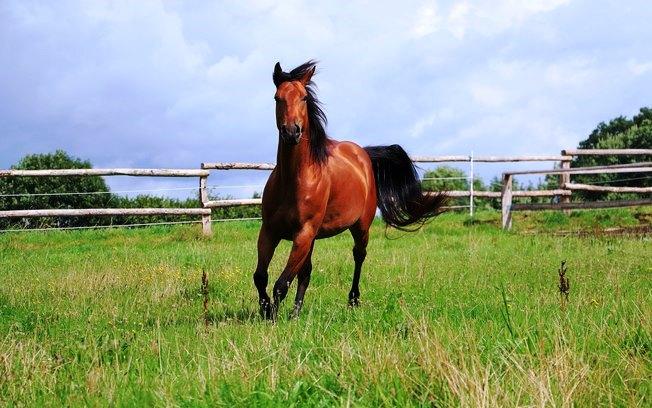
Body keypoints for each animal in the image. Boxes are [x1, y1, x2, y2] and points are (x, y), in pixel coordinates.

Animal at [252, 62, 446, 320]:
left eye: (304, 98)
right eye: (277, 98)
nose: (292, 132)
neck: (293, 180)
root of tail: (363, 154)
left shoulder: (303, 233)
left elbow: (281, 284)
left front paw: (272, 318)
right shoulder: (270, 231)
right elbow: (261, 277)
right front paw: (267, 311)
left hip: (360, 226)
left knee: (359, 255)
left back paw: (353, 300)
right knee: (306, 272)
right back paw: (296, 312)